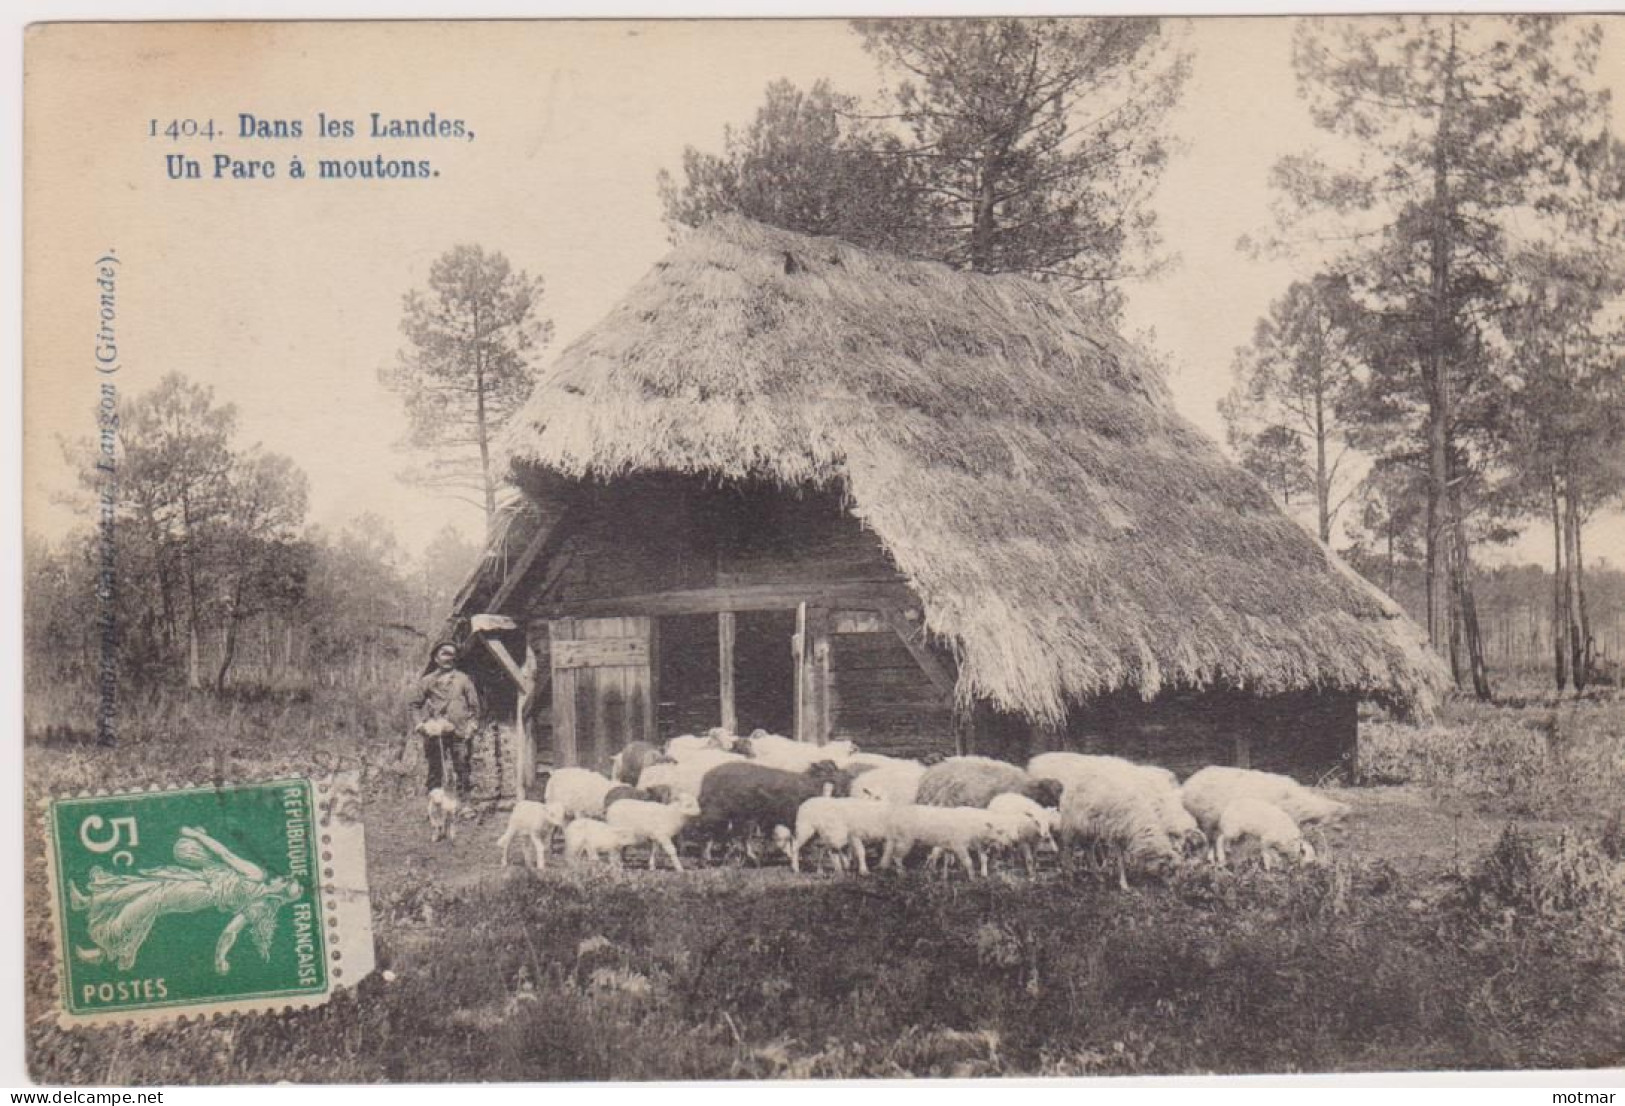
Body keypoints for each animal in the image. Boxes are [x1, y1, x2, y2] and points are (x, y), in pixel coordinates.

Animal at [1053, 773, 1183, 889]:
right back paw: (1069, 876)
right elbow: (1121, 860)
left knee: (1088, 848)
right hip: (1071, 824)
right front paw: (1124, 884)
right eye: (1171, 870)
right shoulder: (1116, 833)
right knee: (1066, 846)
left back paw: (1098, 875)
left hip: (1089, 828)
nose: (1174, 888)